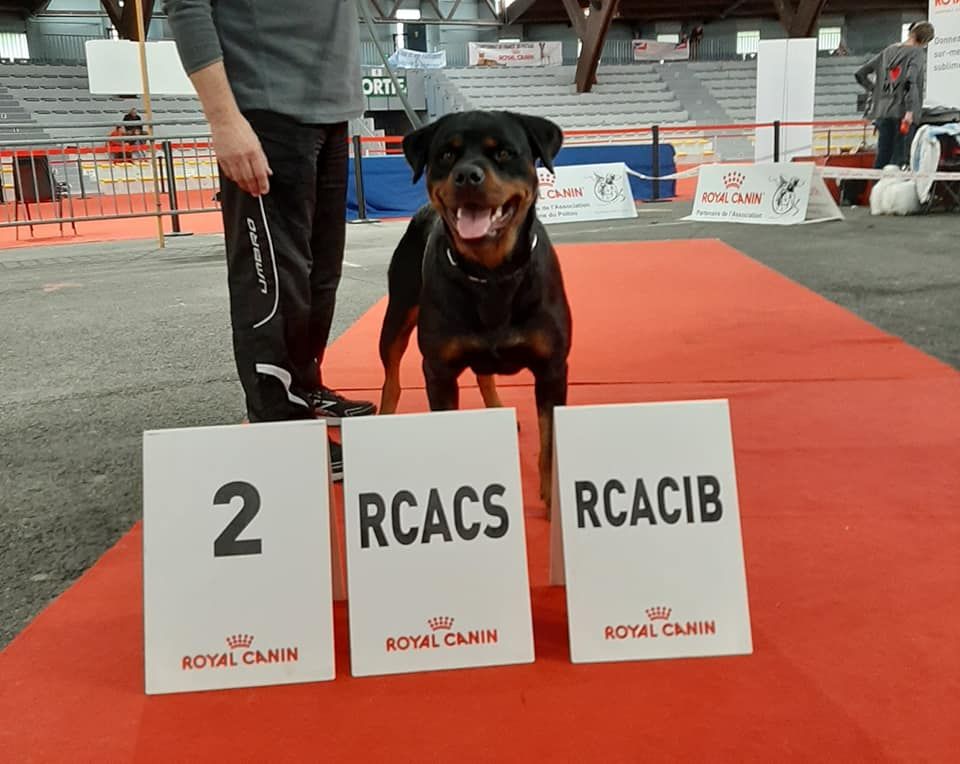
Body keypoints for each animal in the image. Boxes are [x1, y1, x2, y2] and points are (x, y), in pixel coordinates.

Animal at [378, 110, 571, 506]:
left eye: (504, 153)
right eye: (445, 155)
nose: (467, 175)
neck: (491, 273)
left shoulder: (552, 368)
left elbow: (548, 441)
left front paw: (551, 499)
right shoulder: (438, 370)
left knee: (484, 373)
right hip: (397, 314)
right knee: (391, 376)